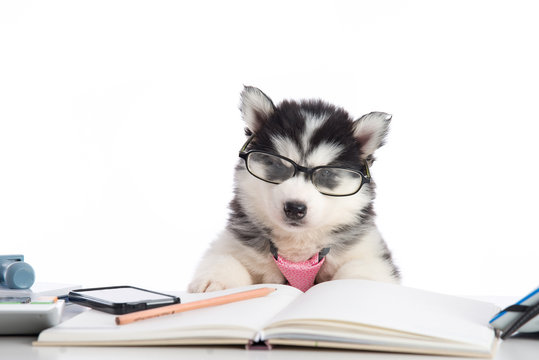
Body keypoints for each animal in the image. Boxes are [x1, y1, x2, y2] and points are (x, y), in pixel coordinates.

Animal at [188, 86, 398, 292]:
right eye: (278, 165)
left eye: (326, 173)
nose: (295, 208)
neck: (297, 246)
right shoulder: (232, 243)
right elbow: (224, 259)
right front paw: (216, 281)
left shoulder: (371, 252)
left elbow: (360, 270)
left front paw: (355, 287)